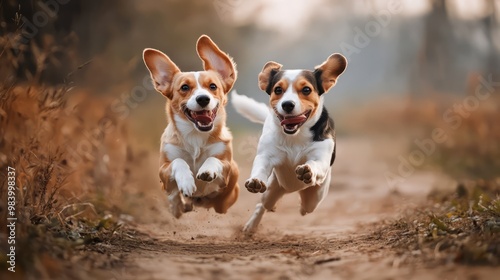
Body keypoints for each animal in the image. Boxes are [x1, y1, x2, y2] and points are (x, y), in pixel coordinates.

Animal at [143, 35, 240, 219]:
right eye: (184, 87)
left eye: (213, 86)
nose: (203, 99)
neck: (195, 136)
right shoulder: (163, 169)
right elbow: (178, 161)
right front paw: (187, 181)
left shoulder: (227, 169)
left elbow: (213, 159)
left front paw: (207, 170)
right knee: (175, 200)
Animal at [231, 52, 346, 234]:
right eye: (278, 90)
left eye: (306, 89)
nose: (287, 104)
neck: (295, 136)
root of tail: (289, 189)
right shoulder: (266, 155)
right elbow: (260, 167)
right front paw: (255, 180)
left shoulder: (320, 158)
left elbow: (315, 164)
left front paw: (307, 171)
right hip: (272, 189)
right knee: (263, 205)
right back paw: (252, 225)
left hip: (316, 196)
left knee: (306, 207)